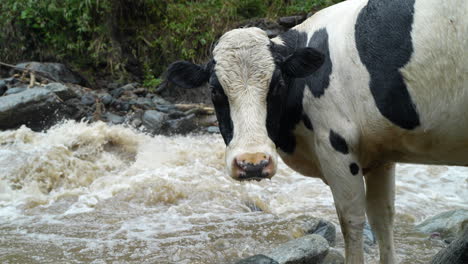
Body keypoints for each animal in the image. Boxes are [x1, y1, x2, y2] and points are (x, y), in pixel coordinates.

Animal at [165, 0, 468, 262]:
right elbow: (383, 218)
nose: (252, 163)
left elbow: (351, 220)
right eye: (215, 91)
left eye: (278, 85)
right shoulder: (381, 155)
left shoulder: (336, 147)